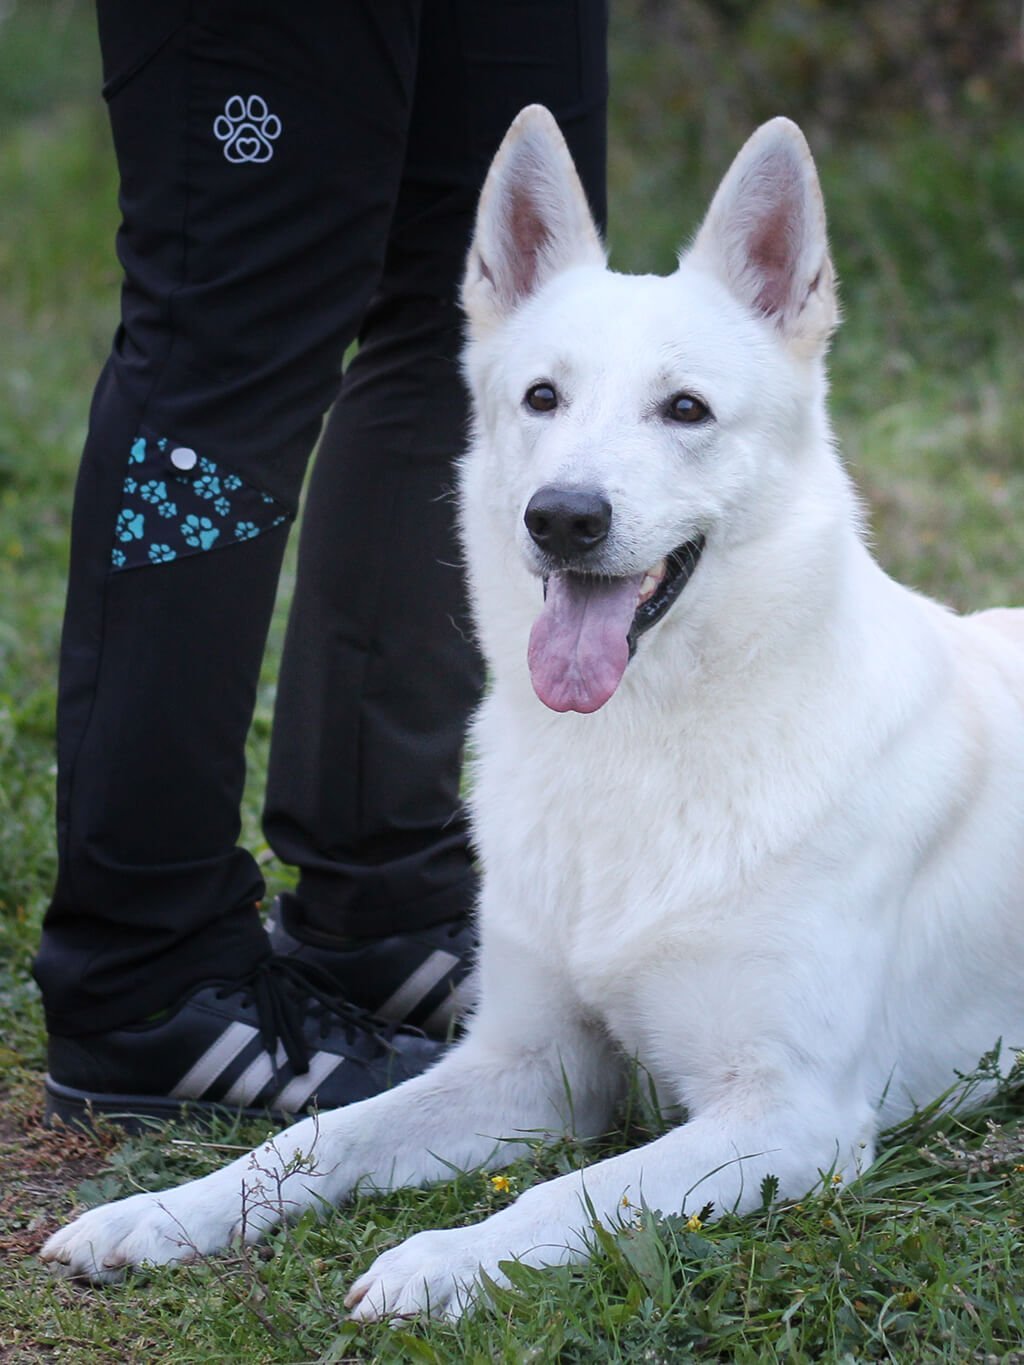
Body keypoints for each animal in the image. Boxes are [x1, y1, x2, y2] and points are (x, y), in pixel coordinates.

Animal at [40, 109, 1024, 1321]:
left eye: (685, 409)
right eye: (542, 398)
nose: (561, 518)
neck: (639, 745)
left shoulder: (787, 1113)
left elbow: (574, 1191)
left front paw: (441, 1260)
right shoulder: (528, 1066)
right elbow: (317, 1138)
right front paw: (162, 1212)